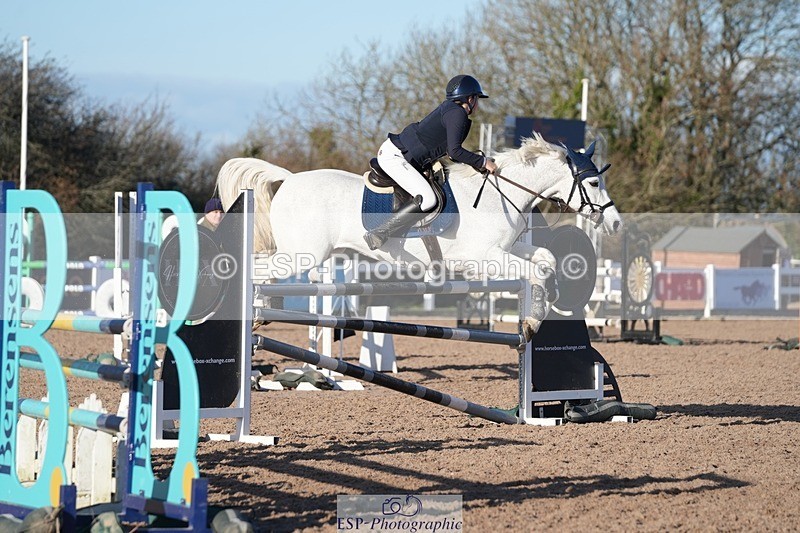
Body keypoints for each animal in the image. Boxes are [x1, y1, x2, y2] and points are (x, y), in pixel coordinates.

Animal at [216, 133, 622, 338]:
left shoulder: (509, 250)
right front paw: (533, 319)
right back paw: (252, 313)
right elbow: (535, 270)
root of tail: (288, 179)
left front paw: (543, 306)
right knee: (254, 269)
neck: (500, 193)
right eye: (594, 182)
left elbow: (545, 259)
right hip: (303, 254)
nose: (616, 223)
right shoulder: (483, 260)